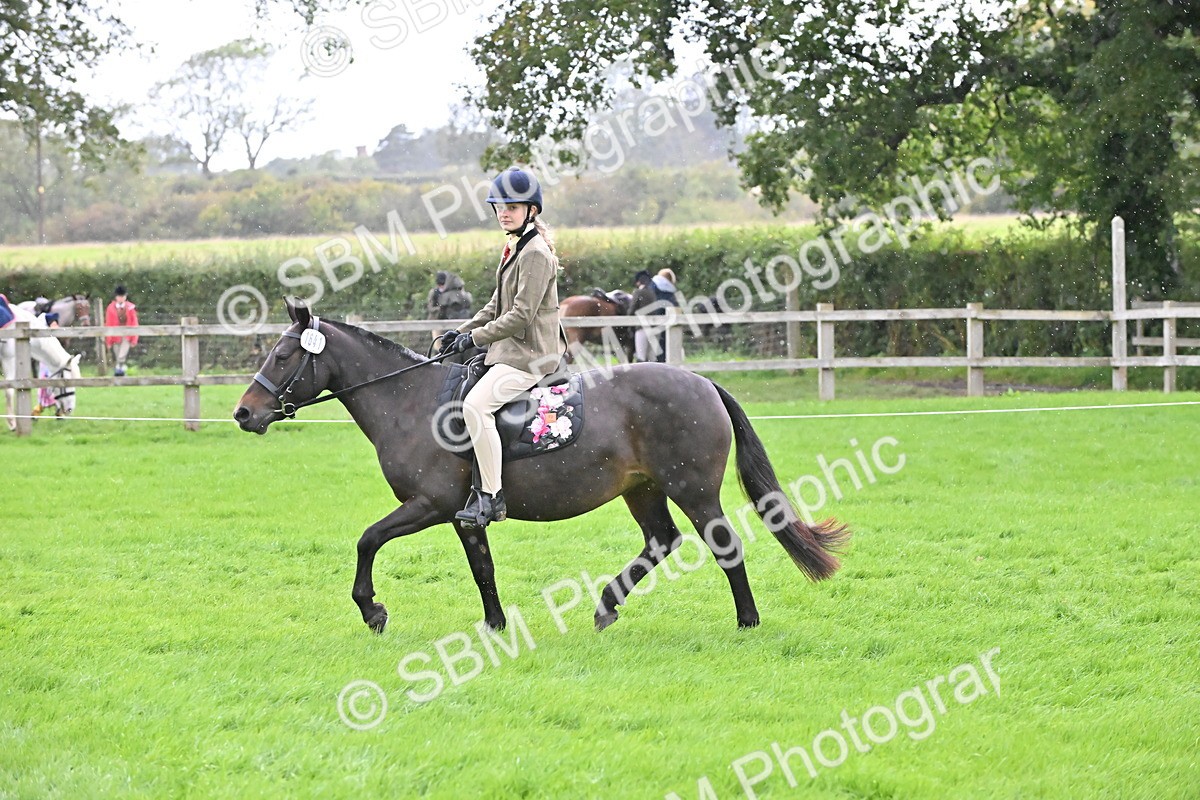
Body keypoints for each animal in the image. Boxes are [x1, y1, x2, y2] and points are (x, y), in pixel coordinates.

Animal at [234, 300, 849, 634]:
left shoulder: (429, 505)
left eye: (283, 356)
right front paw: (495, 626)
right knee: (661, 541)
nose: (244, 413)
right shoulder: (462, 514)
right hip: (643, 488)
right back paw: (605, 607)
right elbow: (482, 568)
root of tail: (702, 383)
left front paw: (372, 611)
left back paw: (747, 622)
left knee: (724, 546)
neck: (410, 401)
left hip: (692, 489)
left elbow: (367, 540)